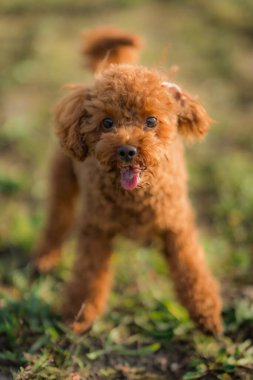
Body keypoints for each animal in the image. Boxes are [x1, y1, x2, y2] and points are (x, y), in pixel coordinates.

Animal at [35, 26, 221, 334]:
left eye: (151, 121)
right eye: (107, 122)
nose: (127, 150)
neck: (135, 197)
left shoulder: (177, 224)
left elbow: (191, 268)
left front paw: (206, 314)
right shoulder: (95, 229)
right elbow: (88, 275)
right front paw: (79, 315)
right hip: (63, 177)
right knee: (58, 219)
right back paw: (45, 258)